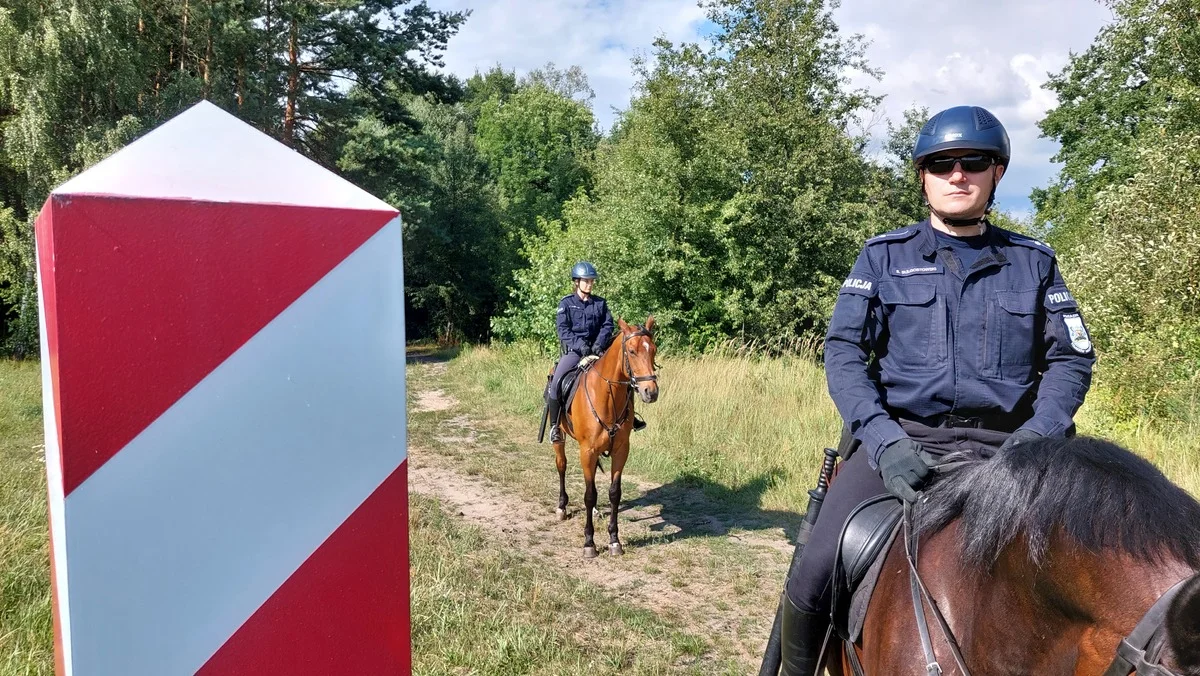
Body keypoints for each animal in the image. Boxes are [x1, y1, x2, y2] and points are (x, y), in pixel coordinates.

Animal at [549, 319, 657, 557]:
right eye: (632, 351)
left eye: (653, 350)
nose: (651, 391)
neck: (607, 395)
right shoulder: (587, 452)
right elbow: (589, 494)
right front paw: (589, 543)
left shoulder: (621, 450)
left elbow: (614, 493)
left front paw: (614, 540)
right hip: (560, 439)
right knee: (561, 466)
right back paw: (561, 507)